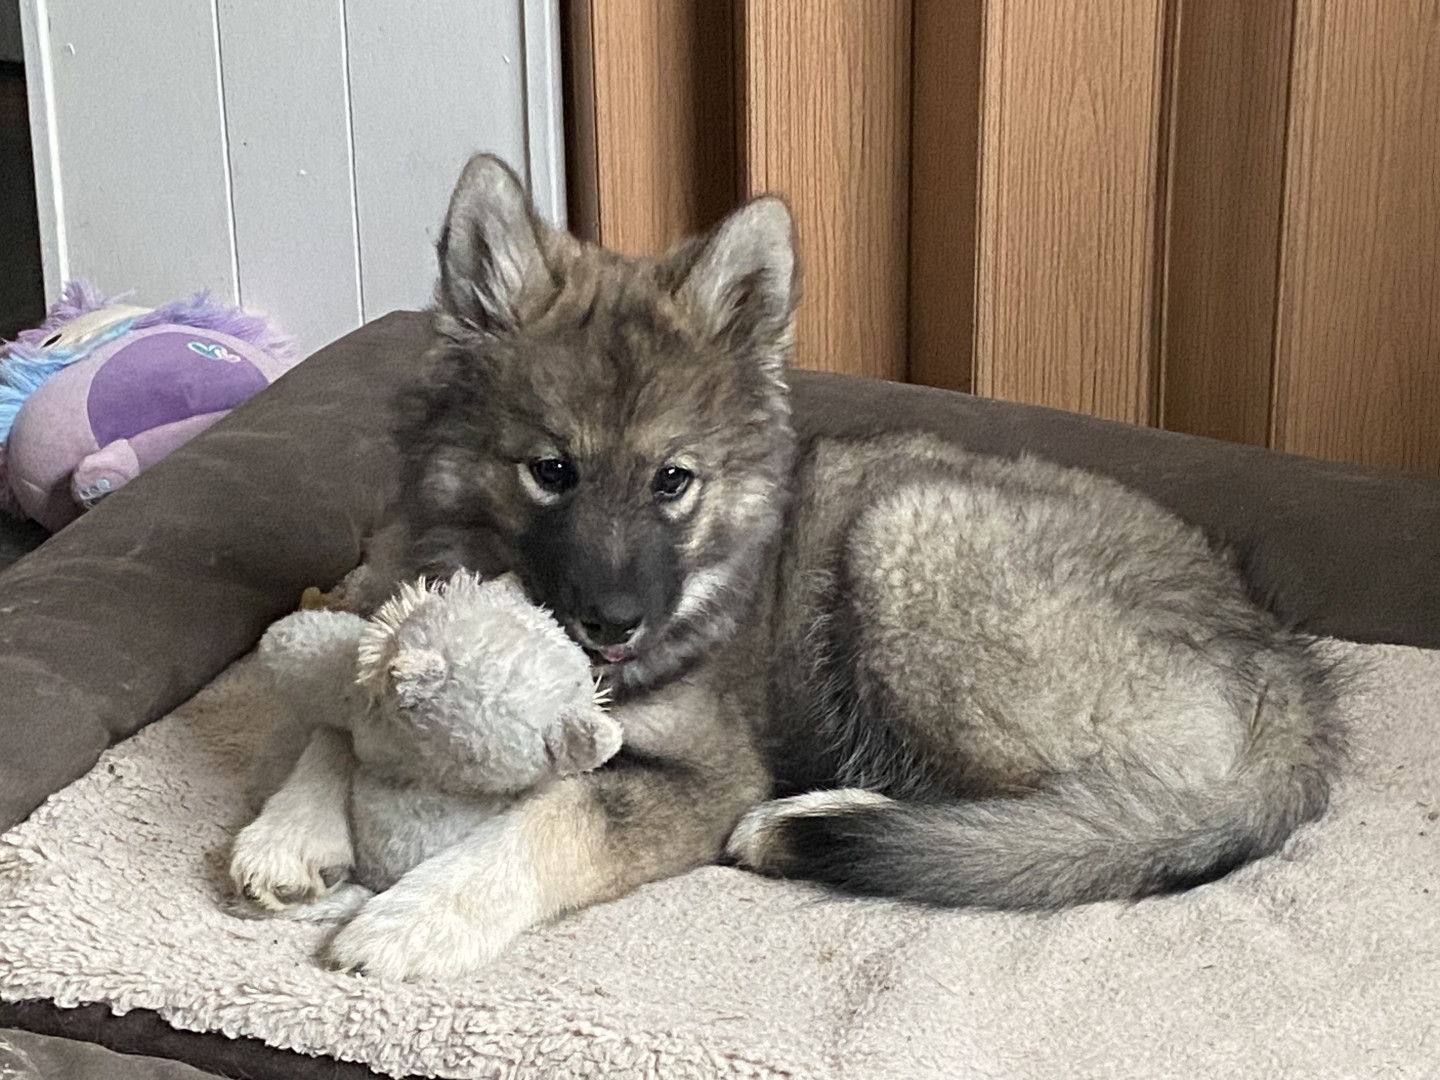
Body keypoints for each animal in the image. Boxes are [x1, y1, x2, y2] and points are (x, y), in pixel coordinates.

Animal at [229, 154, 1343, 980]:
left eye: (673, 480)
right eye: (551, 471)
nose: (613, 625)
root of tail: (1288, 682)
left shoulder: (701, 771)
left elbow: (550, 822)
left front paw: (417, 919)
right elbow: (337, 713)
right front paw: (288, 833)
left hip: (905, 539)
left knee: (1073, 819)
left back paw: (806, 822)